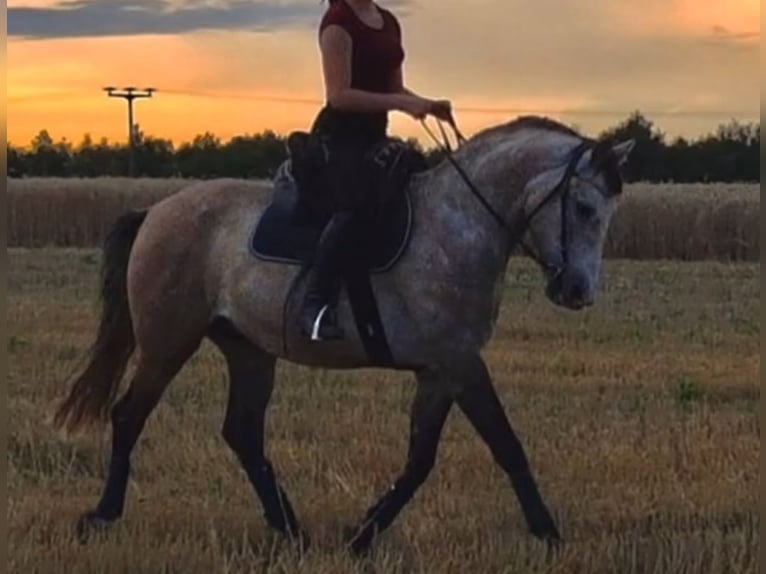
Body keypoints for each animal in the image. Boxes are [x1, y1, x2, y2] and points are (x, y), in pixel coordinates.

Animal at [54, 116, 636, 552]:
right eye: (584, 207)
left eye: (610, 211)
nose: (578, 291)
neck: (458, 226)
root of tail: (157, 211)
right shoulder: (460, 363)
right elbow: (505, 444)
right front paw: (549, 534)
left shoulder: (440, 372)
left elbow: (420, 460)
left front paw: (361, 535)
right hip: (167, 343)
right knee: (129, 415)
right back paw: (101, 517)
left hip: (248, 350)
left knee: (242, 432)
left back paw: (292, 531)